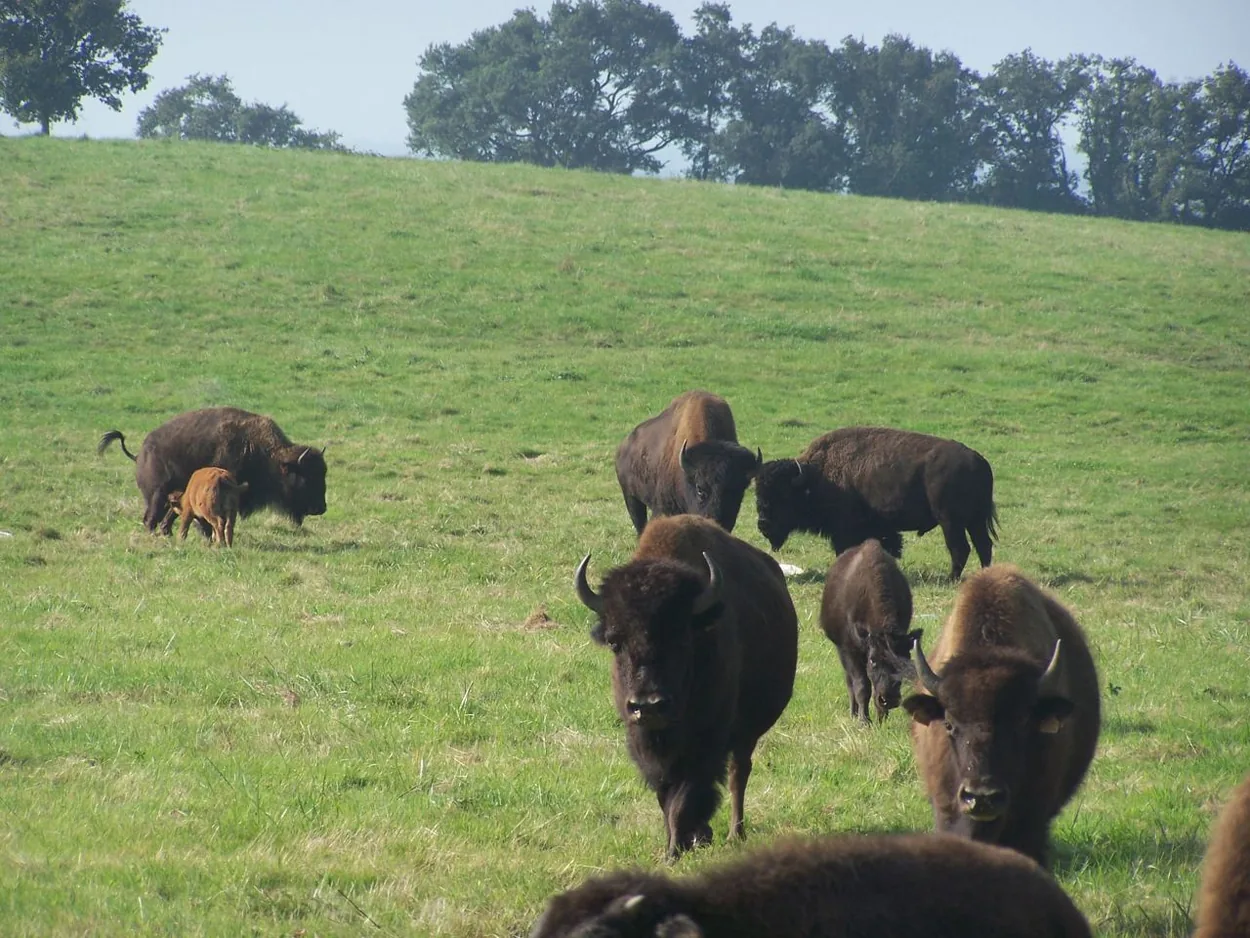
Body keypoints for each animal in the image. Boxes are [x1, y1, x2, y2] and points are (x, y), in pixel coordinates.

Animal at [99, 407, 327, 534]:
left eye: (322, 474)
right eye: (306, 478)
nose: (321, 508)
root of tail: (140, 454)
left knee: (166, 517)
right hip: (157, 495)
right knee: (151, 518)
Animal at [575, 514, 797, 856]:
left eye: (682, 638)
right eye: (614, 641)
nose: (648, 706)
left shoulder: (706, 740)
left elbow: (686, 795)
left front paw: (676, 849)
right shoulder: (646, 746)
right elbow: (666, 796)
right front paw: (679, 843)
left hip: (747, 733)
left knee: (739, 774)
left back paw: (735, 834)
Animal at [754, 426, 997, 579]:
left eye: (783, 496)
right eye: (758, 493)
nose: (763, 524)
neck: (815, 476)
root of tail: (980, 462)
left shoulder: (844, 530)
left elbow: (844, 550)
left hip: (950, 521)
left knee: (960, 548)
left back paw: (951, 578)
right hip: (974, 521)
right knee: (983, 545)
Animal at [819, 538, 920, 723]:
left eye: (904, 660)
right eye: (872, 661)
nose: (890, 699)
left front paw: (881, 719)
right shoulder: (849, 651)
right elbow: (861, 686)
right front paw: (864, 721)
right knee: (849, 682)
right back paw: (853, 713)